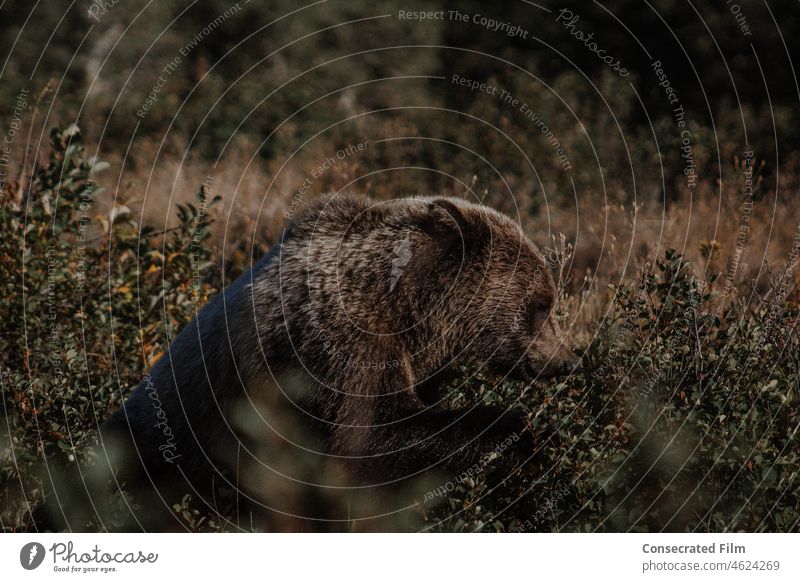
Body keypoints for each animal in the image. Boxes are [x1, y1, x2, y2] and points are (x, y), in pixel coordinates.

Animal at [100, 196, 576, 516]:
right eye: (542, 303)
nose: (567, 360)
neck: (409, 312)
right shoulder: (340, 347)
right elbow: (367, 439)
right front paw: (524, 436)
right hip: (160, 446)